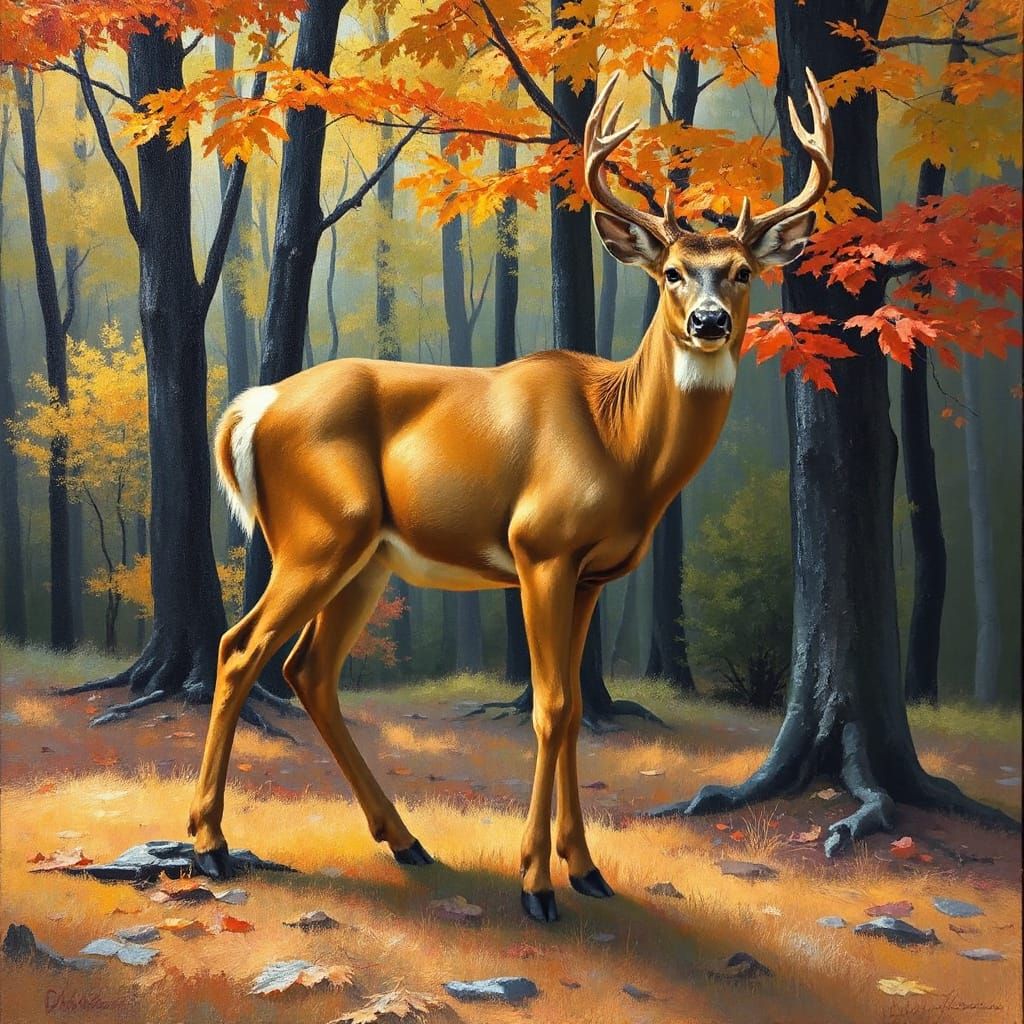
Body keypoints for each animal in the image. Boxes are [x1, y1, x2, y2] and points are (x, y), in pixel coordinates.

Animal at [188, 68, 833, 923]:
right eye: (670, 272)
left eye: (741, 272)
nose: (708, 322)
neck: (620, 446)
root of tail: (251, 409)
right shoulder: (539, 547)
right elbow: (551, 705)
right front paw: (536, 883)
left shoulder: (594, 574)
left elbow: (576, 714)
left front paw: (586, 869)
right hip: (319, 534)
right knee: (240, 648)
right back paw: (210, 843)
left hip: (367, 558)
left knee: (308, 670)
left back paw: (407, 841)